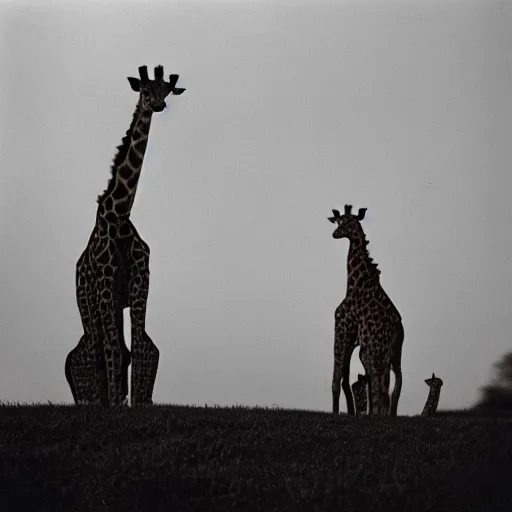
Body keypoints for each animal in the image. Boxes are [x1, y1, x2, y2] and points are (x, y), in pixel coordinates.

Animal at [65, 65, 186, 408]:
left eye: (166, 90)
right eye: (144, 91)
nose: (157, 106)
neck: (119, 215)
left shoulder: (139, 277)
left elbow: (143, 346)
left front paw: (136, 403)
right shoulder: (107, 280)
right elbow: (113, 350)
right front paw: (114, 404)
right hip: (87, 301)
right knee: (88, 350)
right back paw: (95, 402)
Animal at [328, 204, 404, 416]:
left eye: (349, 222)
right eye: (338, 221)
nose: (335, 234)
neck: (353, 285)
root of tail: (398, 329)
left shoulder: (342, 331)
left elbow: (337, 380)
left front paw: (336, 412)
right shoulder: (355, 341)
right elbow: (346, 381)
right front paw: (351, 413)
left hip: (374, 349)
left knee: (379, 380)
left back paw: (378, 414)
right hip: (392, 352)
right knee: (393, 380)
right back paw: (387, 414)